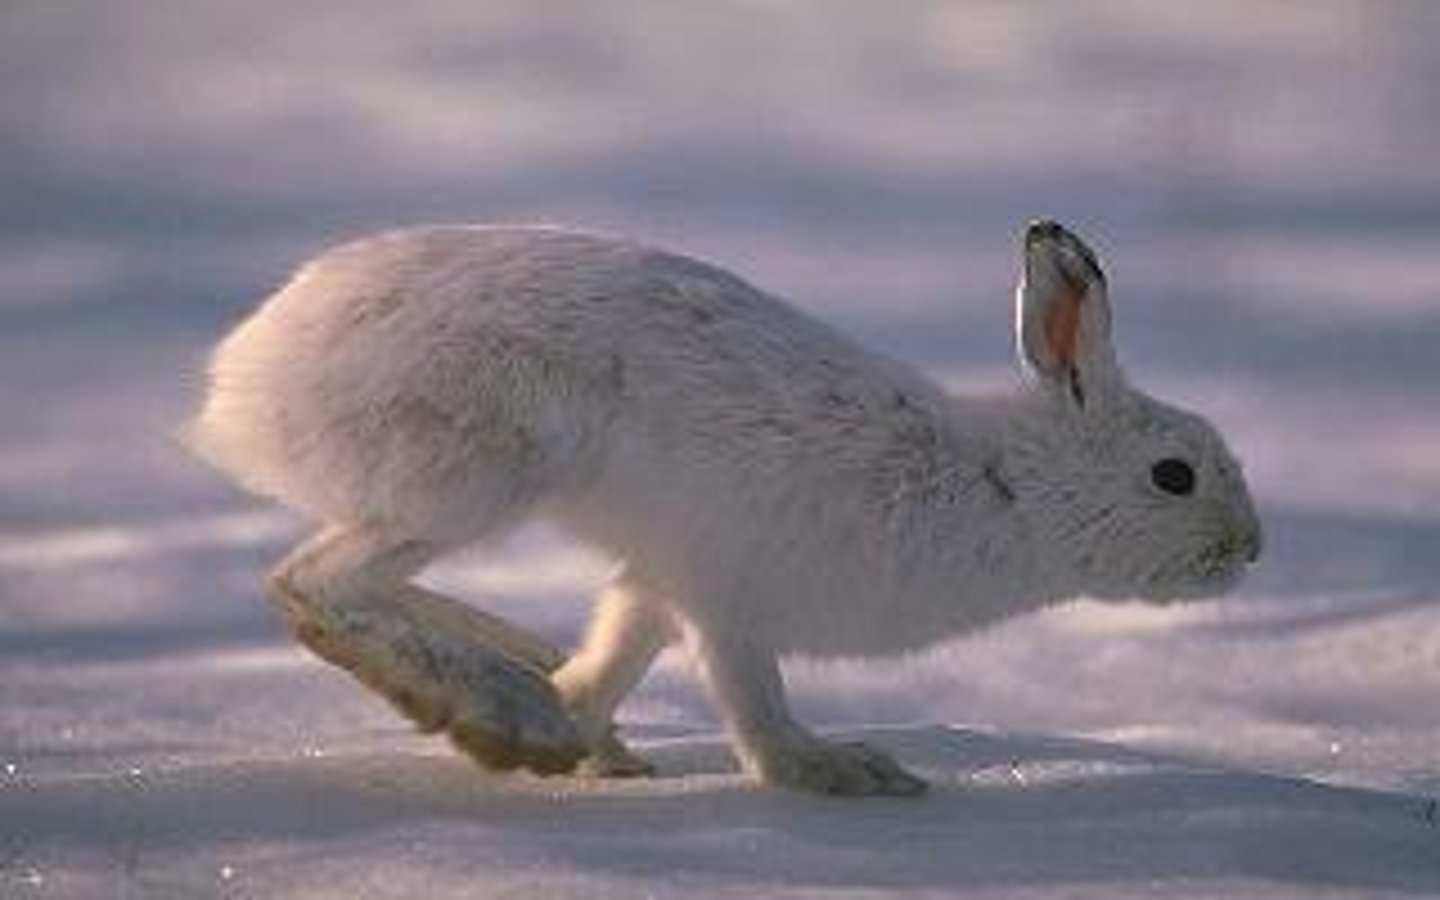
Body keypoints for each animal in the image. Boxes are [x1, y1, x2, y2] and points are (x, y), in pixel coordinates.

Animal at [186, 220, 1262, 796]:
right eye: (1175, 475)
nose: (1250, 547)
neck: (1005, 486)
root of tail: (247, 376)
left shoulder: (659, 586)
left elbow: (614, 655)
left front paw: (587, 743)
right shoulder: (731, 600)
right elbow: (757, 711)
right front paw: (840, 774)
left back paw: (523, 704)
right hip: (475, 470)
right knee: (313, 583)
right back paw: (495, 710)